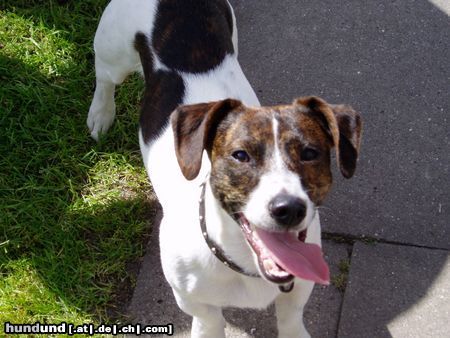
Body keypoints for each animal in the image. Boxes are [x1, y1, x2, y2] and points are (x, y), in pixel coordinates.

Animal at [87, 0, 362, 338]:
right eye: (240, 155)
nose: (288, 208)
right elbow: (210, 322)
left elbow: (291, 318)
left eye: (311, 153)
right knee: (105, 77)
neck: (245, 260)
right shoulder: (192, 299)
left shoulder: (298, 288)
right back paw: (100, 114)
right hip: (114, 50)